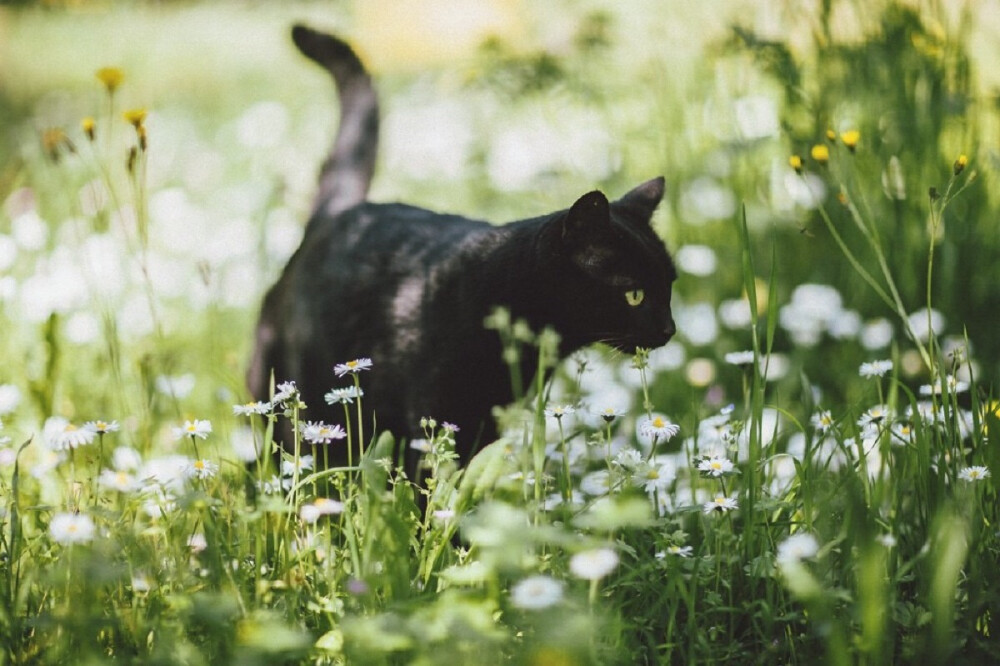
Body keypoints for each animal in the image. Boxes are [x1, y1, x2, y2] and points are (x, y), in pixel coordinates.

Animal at [246, 26, 676, 470]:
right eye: (634, 294)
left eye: (670, 286)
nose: (669, 329)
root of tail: (338, 213)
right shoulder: (437, 413)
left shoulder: (487, 418)